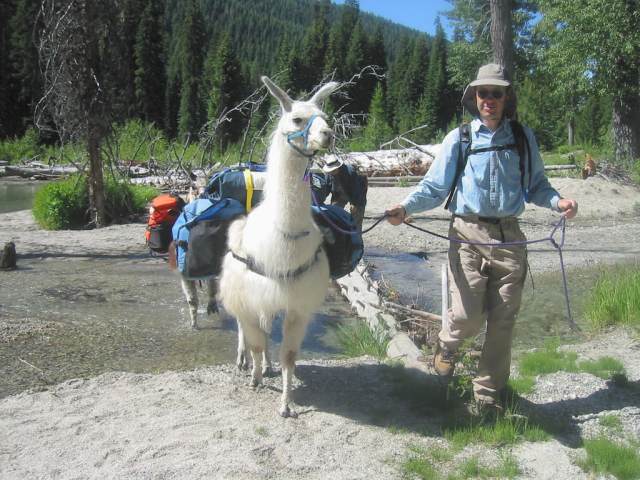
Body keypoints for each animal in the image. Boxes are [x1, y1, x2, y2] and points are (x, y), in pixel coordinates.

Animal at [218, 76, 338, 417]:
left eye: (326, 117)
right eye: (297, 118)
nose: (328, 135)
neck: (284, 239)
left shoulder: (297, 304)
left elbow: (289, 355)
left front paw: (286, 404)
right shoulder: (252, 297)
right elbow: (257, 342)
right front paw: (256, 378)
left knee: (266, 329)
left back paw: (266, 366)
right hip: (242, 294)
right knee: (248, 332)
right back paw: (247, 364)